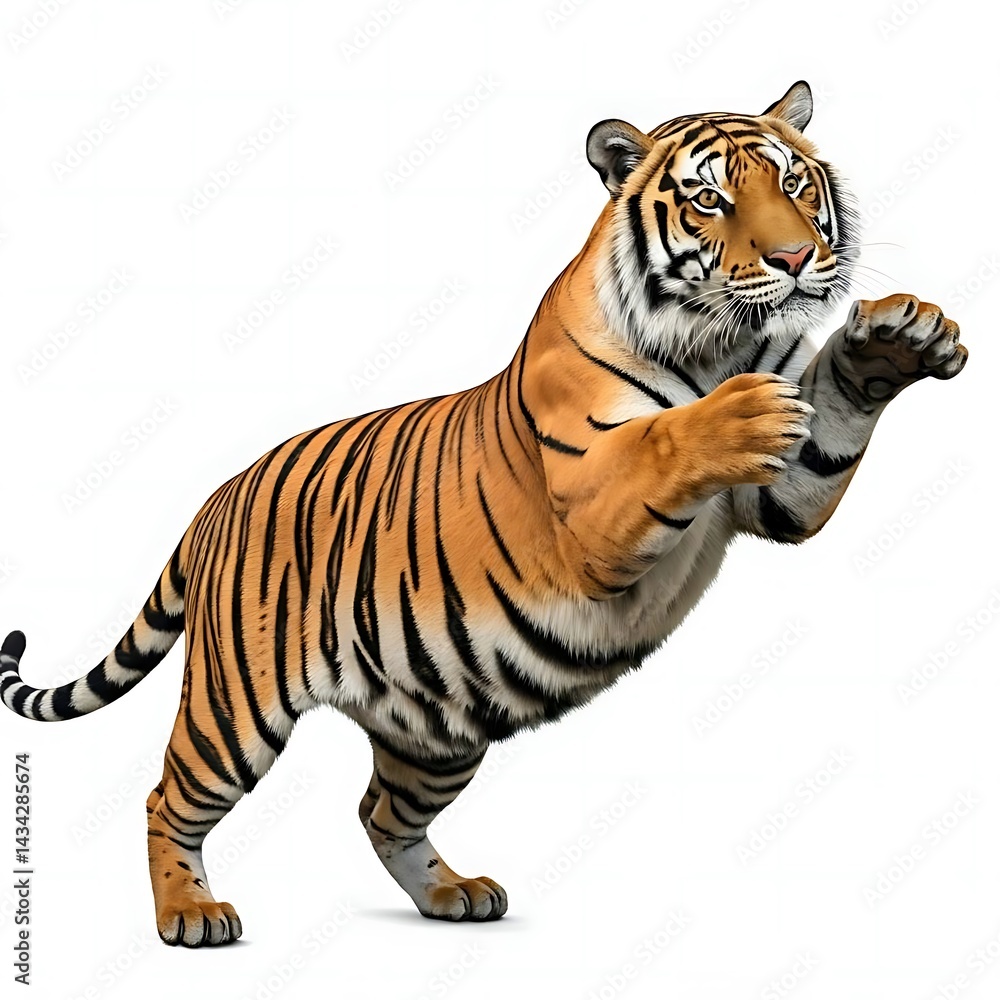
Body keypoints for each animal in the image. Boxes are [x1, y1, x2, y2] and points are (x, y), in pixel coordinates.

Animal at [1, 81, 968, 947]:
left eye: (794, 183)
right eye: (708, 199)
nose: (797, 259)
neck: (723, 342)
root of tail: (217, 495)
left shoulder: (781, 492)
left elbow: (831, 419)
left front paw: (898, 337)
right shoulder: (590, 518)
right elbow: (665, 440)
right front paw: (734, 413)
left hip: (437, 726)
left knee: (380, 809)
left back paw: (451, 895)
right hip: (236, 704)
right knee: (168, 797)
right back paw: (189, 915)